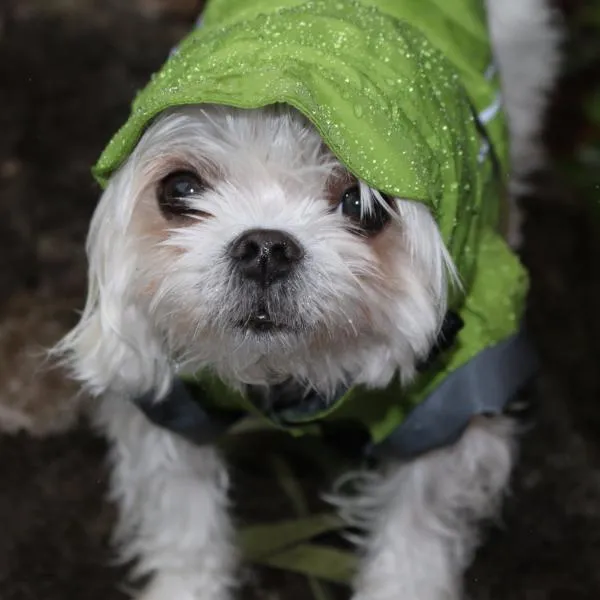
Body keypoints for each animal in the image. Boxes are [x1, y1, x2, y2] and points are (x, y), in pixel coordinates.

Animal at [55, 1, 564, 600]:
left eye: (363, 205)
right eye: (179, 188)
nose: (265, 248)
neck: (290, 373)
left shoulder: (447, 403)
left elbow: (415, 536)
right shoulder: (168, 400)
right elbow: (181, 519)